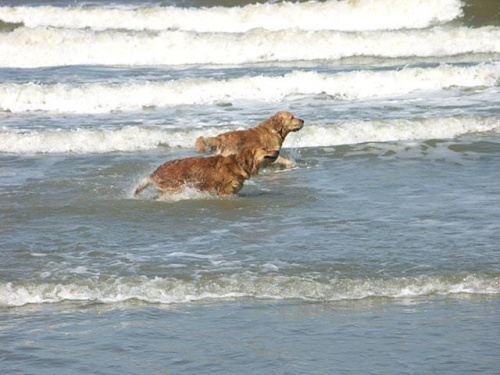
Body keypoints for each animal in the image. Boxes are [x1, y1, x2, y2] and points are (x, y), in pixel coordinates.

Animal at [135, 148, 280, 198]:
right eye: (265, 148)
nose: (278, 151)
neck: (239, 164)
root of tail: (154, 173)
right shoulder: (224, 192)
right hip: (175, 188)